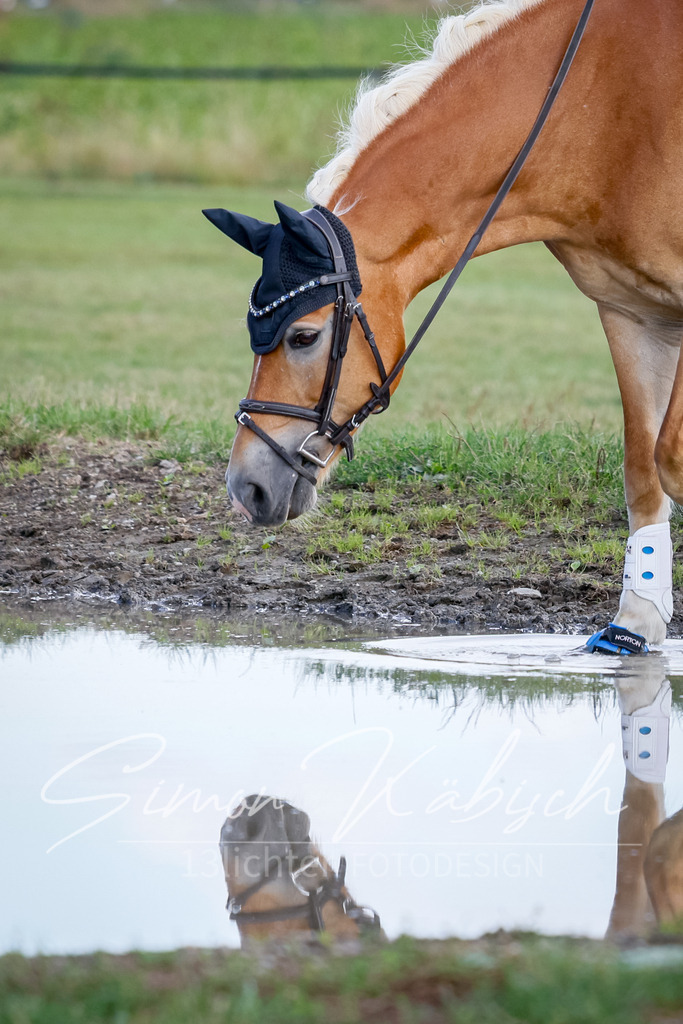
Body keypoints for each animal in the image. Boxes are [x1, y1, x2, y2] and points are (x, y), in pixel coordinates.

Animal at [204, 0, 683, 650]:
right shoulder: (633, 311)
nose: (246, 489)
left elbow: (672, 457)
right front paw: (635, 625)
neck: (601, 105)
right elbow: (644, 468)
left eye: (304, 337)